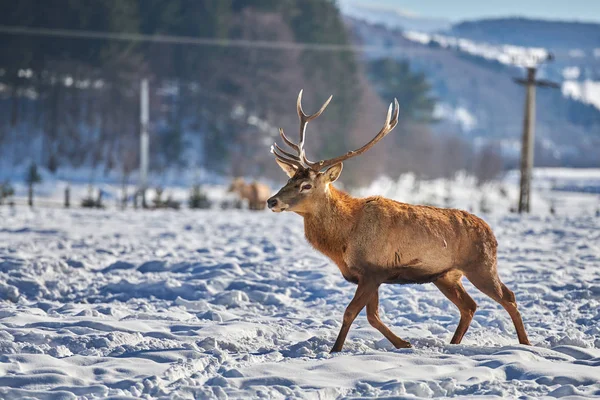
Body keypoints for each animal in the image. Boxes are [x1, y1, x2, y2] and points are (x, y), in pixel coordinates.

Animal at [268, 91, 528, 354]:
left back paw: (525, 343)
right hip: (445, 275)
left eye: (306, 185)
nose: (271, 200)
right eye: (289, 179)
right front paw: (404, 343)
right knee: (469, 305)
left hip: (481, 265)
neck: (343, 241)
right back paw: (454, 344)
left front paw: (335, 350)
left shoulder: (373, 270)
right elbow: (372, 316)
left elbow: (351, 313)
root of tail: (490, 232)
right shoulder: (367, 275)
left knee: (508, 297)